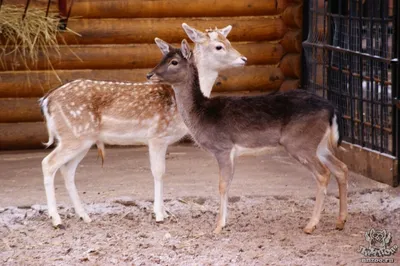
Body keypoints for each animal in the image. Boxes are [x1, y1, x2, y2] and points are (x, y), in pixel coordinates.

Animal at [40, 22, 247, 228]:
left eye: (228, 40)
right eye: (219, 46)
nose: (243, 58)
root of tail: (47, 100)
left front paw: (164, 212)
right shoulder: (157, 136)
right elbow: (159, 172)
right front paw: (159, 215)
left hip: (82, 139)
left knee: (67, 170)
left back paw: (84, 215)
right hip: (73, 136)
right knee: (48, 163)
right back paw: (56, 220)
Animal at [148, 38, 348, 234]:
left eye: (174, 62)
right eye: (162, 58)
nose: (149, 75)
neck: (201, 114)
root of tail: (331, 109)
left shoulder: (222, 146)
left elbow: (222, 184)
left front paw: (218, 226)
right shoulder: (232, 152)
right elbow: (229, 183)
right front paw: (224, 222)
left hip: (299, 143)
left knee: (323, 173)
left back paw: (310, 225)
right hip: (319, 145)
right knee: (341, 168)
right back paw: (340, 221)